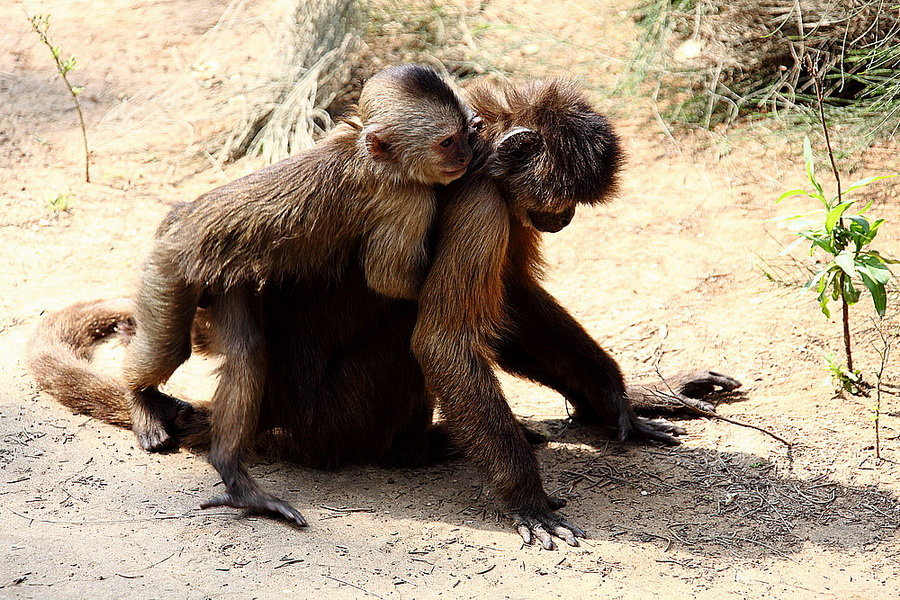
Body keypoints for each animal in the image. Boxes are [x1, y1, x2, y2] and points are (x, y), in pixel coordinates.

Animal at [26, 72, 740, 548]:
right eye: (559, 200)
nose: (561, 218)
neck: (481, 147)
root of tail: (279, 417)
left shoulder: (500, 205)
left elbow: (512, 308)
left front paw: (620, 399)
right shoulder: (482, 202)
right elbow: (446, 340)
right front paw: (525, 498)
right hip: (333, 418)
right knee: (402, 331)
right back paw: (408, 451)